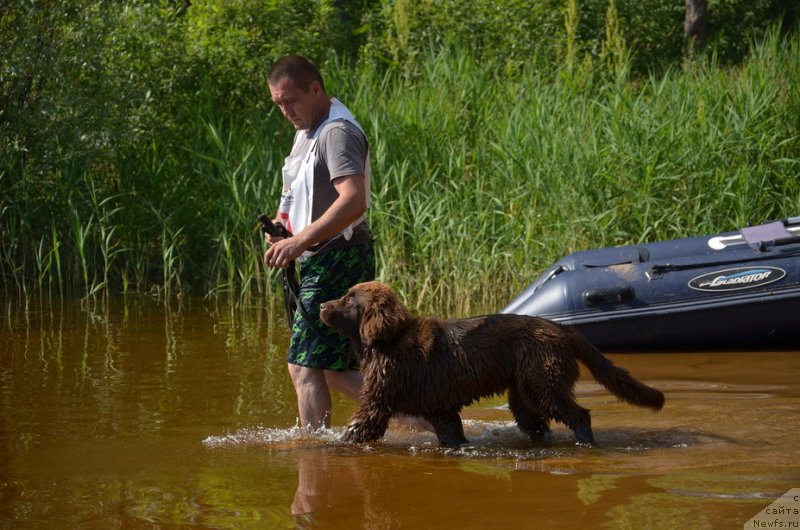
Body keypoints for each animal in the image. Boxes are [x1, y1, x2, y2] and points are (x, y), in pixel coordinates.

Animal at [318, 280, 664, 446]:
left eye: (349, 300)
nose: (321, 305)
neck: (388, 340)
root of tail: (562, 328)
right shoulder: (441, 409)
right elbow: (452, 435)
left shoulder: (378, 403)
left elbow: (356, 430)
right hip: (524, 394)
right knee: (538, 424)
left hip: (544, 383)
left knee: (579, 415)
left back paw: (585, 444)